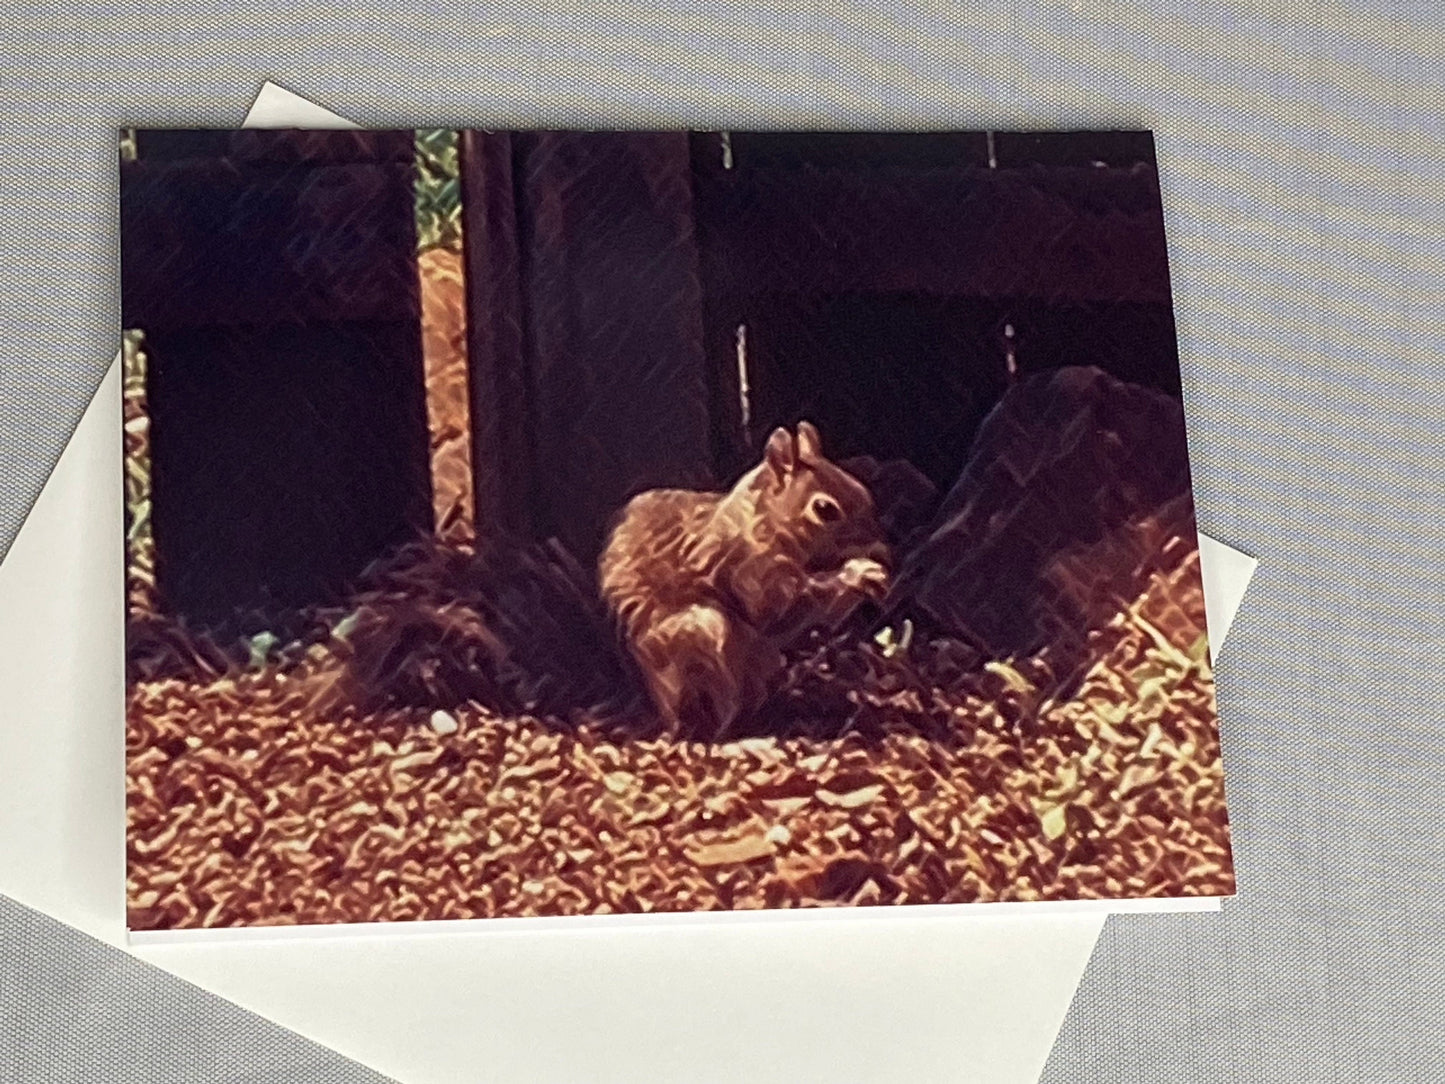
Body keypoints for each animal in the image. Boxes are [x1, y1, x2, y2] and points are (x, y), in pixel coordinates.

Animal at [599, 420, 891, 741]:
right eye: (825, 509)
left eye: (861, 489)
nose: (879, 541)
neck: (761, 522)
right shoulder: (746, 569)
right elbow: (781, 612)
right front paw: (858, 573)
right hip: (696, 640)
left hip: (757, 662)